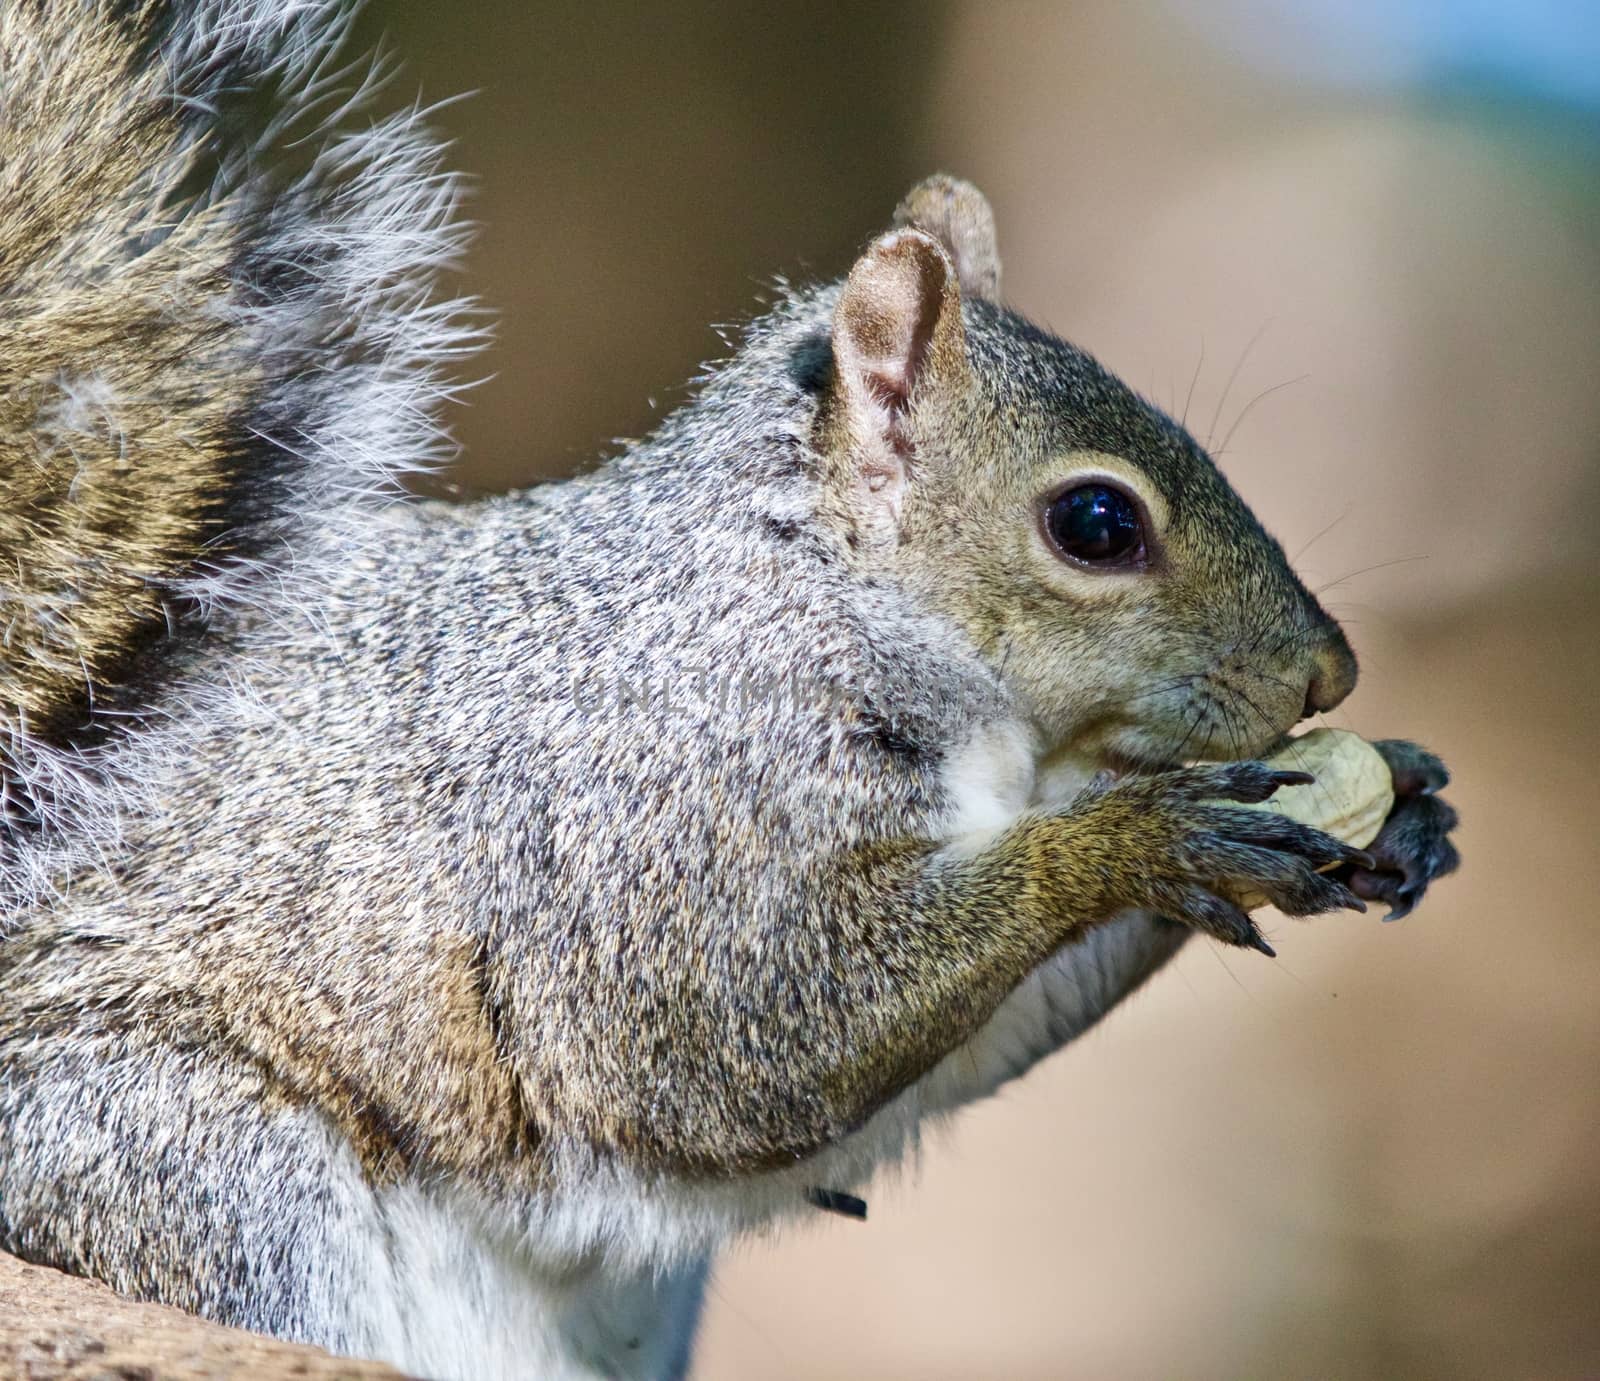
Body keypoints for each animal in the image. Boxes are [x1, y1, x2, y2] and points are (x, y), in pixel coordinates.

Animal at [0, 2, 1465, 1381]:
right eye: (1096, 523)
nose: (1329, 668)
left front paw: (1397, 815)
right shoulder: (659, 801)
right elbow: (726, 1036)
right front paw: (1138, 839)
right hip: (202, 1171)